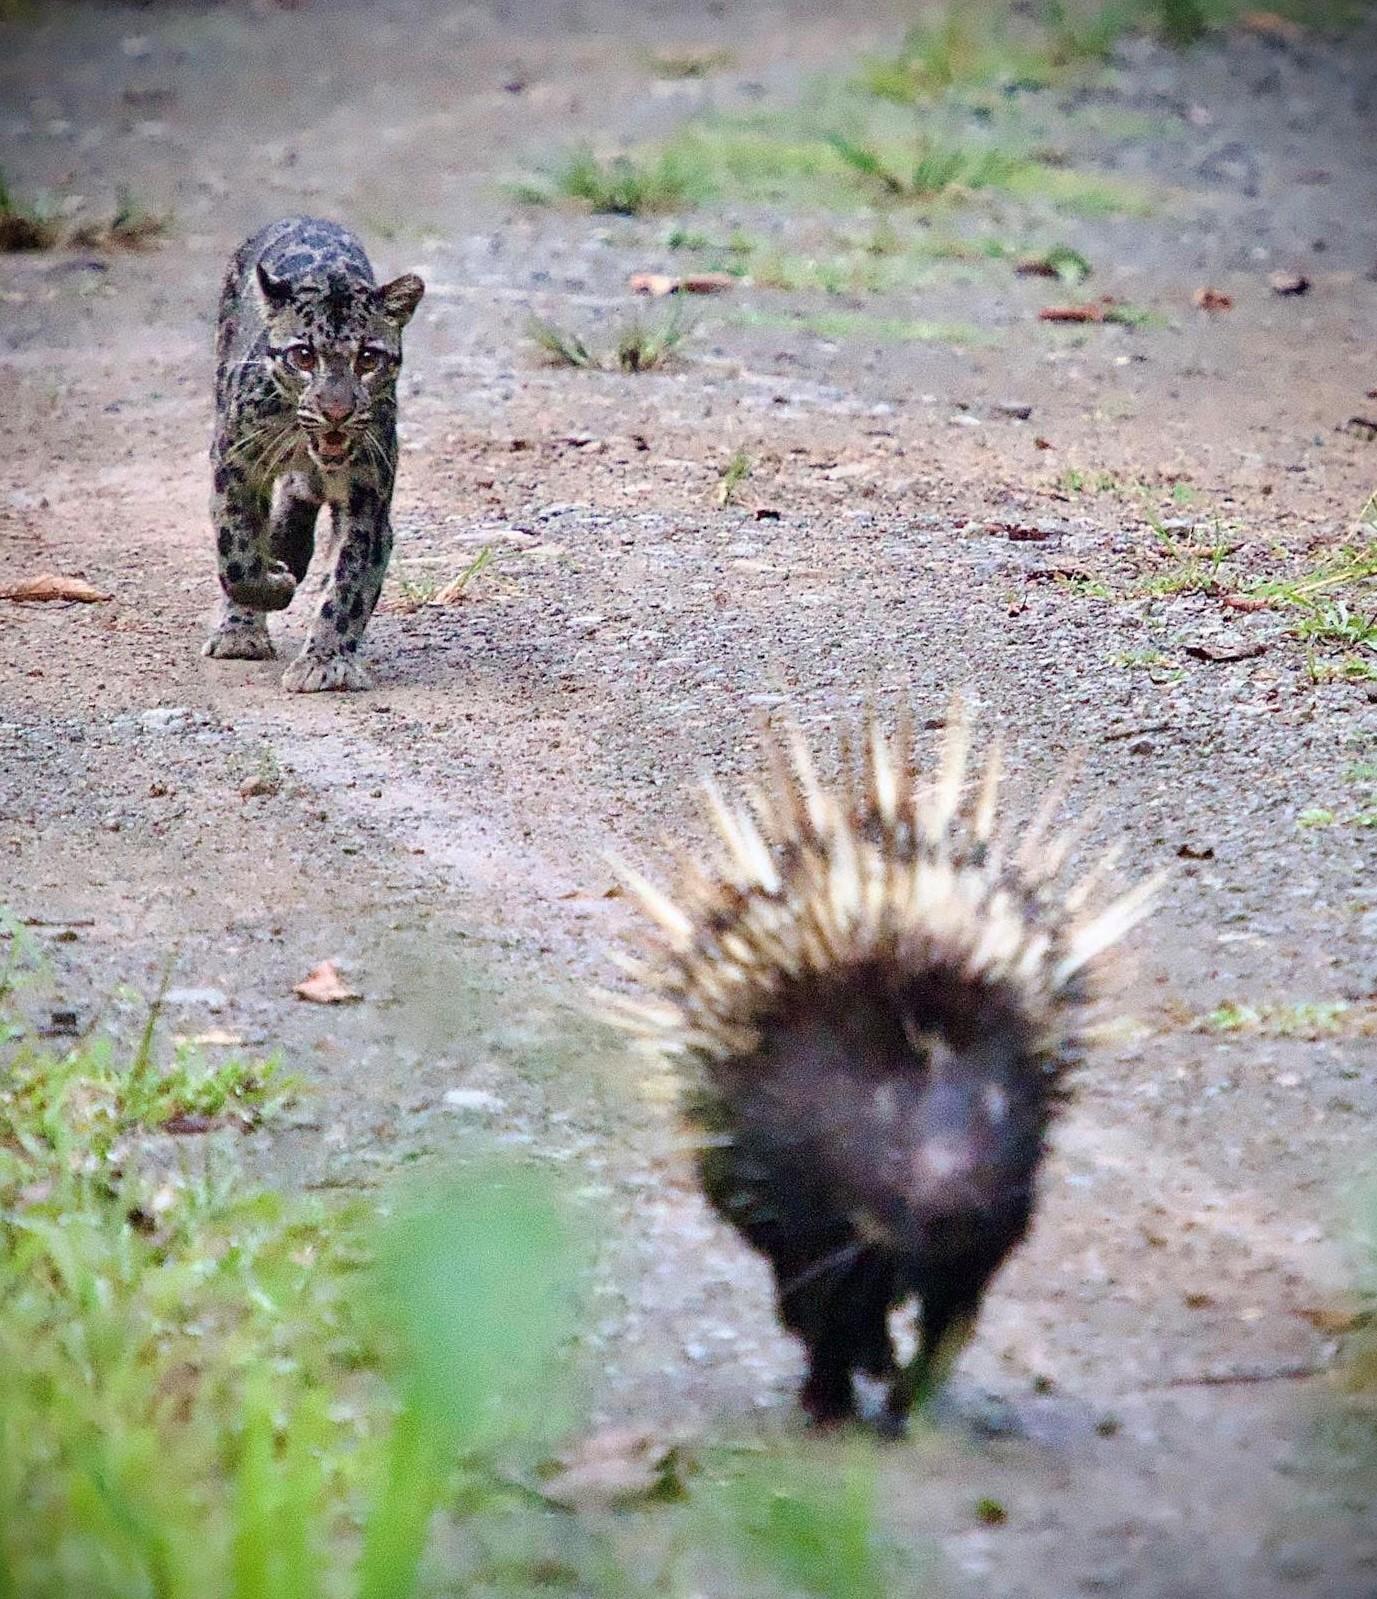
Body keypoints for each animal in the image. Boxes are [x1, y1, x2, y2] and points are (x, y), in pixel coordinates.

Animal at [203, 216, 424, 692]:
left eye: (368, 359)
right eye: (303, 356)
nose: (336, 412)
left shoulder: (369, 500)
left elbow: (349, 584)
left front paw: (326, 660)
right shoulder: (233, 465)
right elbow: (237, 554)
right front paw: (269, 590)